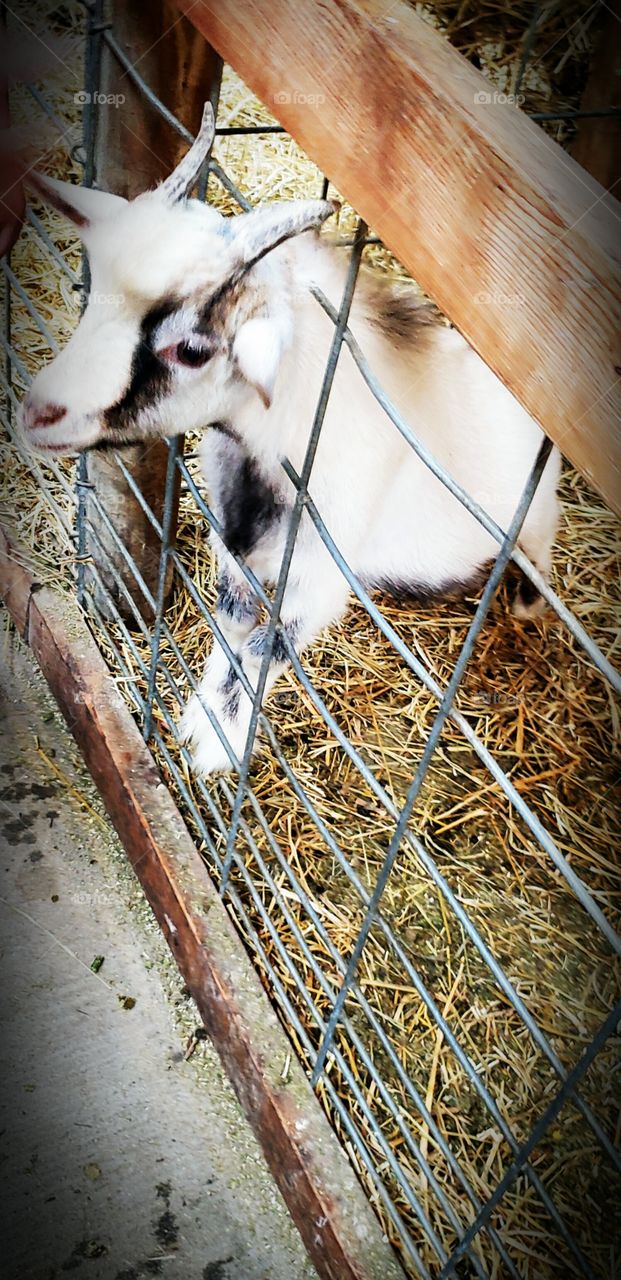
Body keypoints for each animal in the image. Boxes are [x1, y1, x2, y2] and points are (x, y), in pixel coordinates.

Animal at [21, 104, 560, 776]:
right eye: (96, 295)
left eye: (191, 349)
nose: (38, 413)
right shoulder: (233, 544)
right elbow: (232, 620)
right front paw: (203, 718)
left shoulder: (323, 580)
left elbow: (268, 644)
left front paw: (217, 744)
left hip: (535, 513)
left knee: (540, 546)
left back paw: (526, 602)